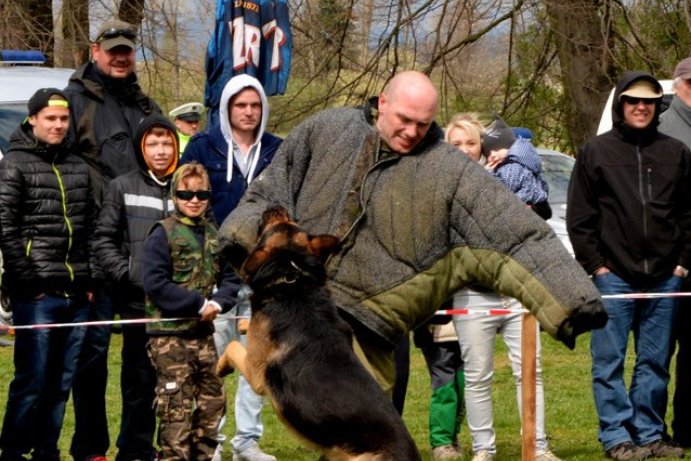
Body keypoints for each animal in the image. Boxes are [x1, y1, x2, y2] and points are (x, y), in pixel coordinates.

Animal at [216, 205, 422, 460]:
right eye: (292, 224)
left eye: (279, 225)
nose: (276, 207)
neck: (293, 273)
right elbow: (245, 328)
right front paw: (245, 325)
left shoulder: (256, 372)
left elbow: (232, 347)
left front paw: (220, 367)